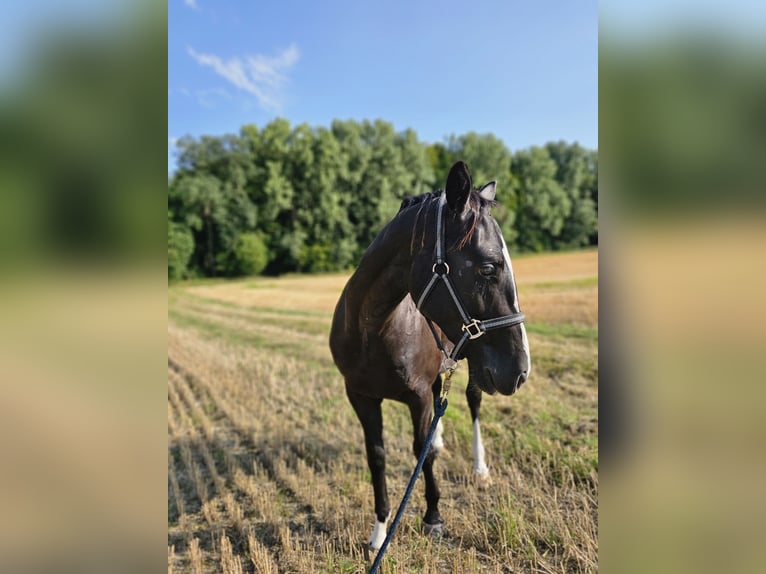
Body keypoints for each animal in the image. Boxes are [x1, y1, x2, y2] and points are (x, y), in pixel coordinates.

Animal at [329, 161, 530, 550]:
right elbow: (377, 455)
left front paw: (433, 517)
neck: (373, 330)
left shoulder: (418, 396)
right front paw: (380, 530)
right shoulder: (359, 395)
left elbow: (420, 453)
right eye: (487, 268)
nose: (521, 370)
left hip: (472, 367)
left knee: (472, 402)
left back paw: (480, 468)